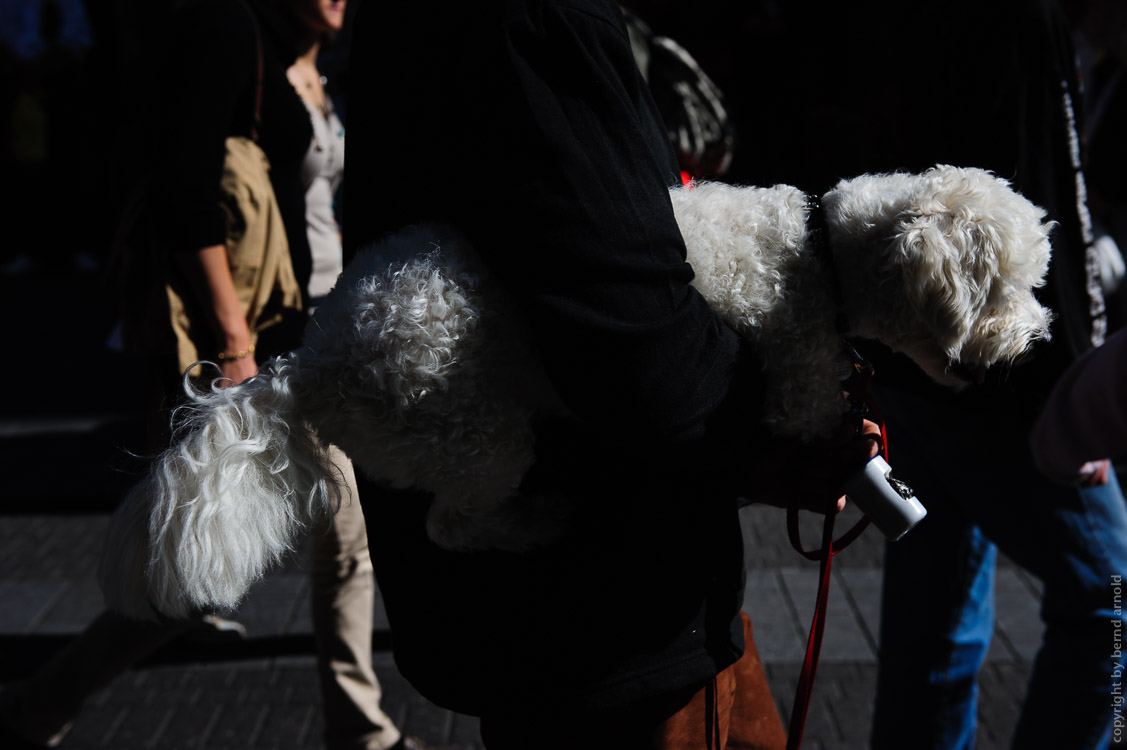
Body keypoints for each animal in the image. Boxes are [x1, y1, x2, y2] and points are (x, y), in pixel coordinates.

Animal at [99, 165, 1054, 618]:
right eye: (1001, 288)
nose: (1037, 342)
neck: (820, 253)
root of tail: (312, 363)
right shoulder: (795, 383)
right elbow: (806, 426)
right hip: (474, 429)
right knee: (454, 523)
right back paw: (534, 523)